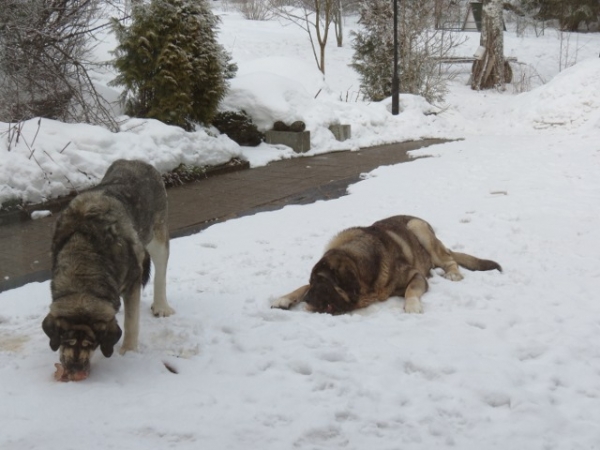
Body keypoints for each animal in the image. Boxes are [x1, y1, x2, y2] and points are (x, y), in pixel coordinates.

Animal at [41, 160, 173, 382]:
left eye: (91, 344)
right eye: (67, 341)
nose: (75, 369)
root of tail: (136, 161)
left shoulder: (132, 280)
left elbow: (130, 322)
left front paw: (128, 351)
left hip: (157, 237)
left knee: (161, 271)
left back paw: (161, 306)